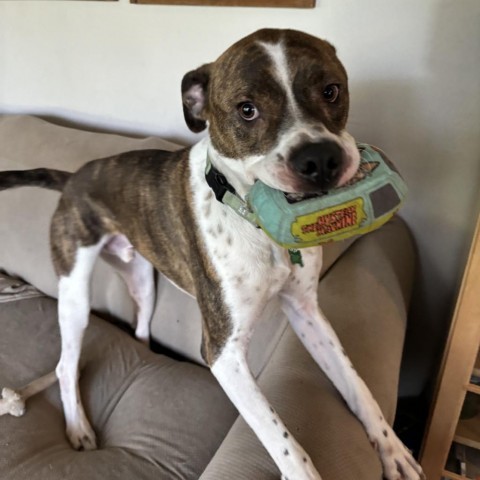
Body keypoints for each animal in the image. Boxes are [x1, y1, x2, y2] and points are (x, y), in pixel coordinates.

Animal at [0, 29, 424, 480]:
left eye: (331, 90)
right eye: (247, 110)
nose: (320, 159)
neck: (257, 225)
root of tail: (74, 177)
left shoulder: (307, 312)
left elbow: (355, 383)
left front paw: (392, 448)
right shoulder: (224, 353)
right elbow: (283, 441)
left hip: (143, 280)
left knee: (139, 324)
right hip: (75, 295)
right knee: (65, 365)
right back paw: (78, 427)